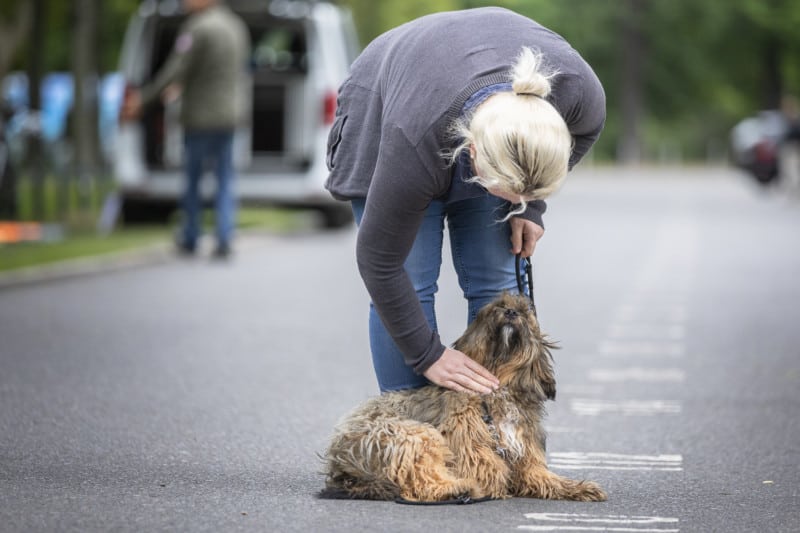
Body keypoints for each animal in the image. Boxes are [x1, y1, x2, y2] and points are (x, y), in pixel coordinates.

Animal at [318, 294, 608, 500]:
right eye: (497, 307)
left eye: (525, 313)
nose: (511, 312)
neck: (498, 386)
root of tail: (341, 461)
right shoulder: (469, 445)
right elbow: (491, 469)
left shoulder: (525, 454)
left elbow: (542, 477)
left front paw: (578, 488)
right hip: (412, 434)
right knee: (420, 481)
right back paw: (457, 488)